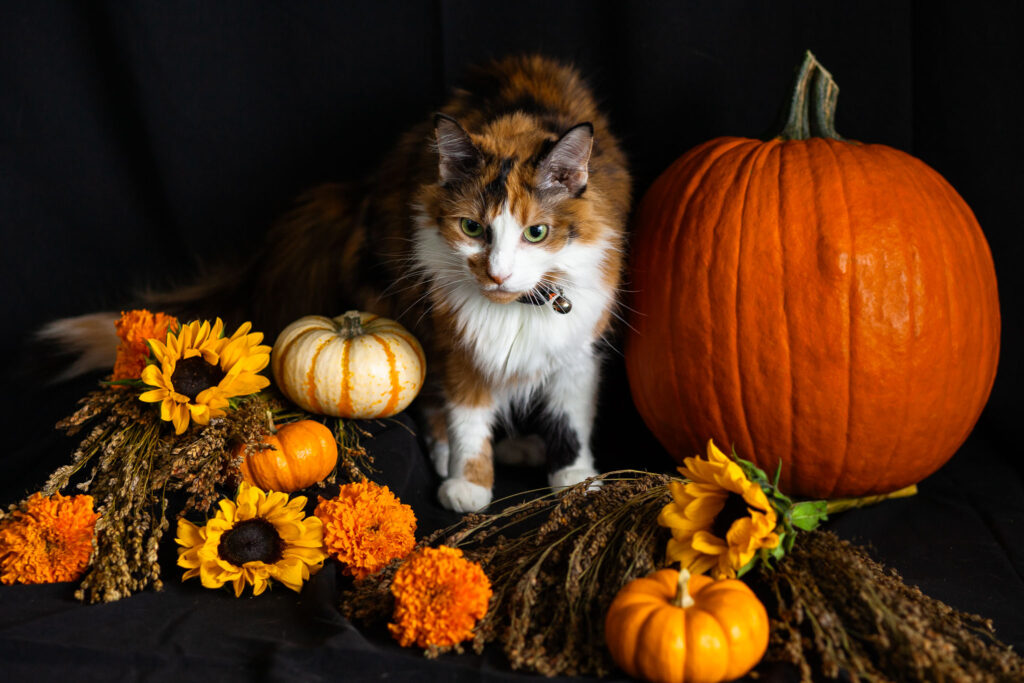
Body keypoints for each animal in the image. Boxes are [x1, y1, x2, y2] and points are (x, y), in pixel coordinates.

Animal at [49, 57, 630, 511]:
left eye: (537, 233)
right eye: (471, 228)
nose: (498, 273)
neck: (516, 308)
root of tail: (361, 192)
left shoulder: (579, 347)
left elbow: (571, 420)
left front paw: (576, 479)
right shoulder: (454, 342)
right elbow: (466, 416)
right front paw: (468, 483)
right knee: (432, 406)